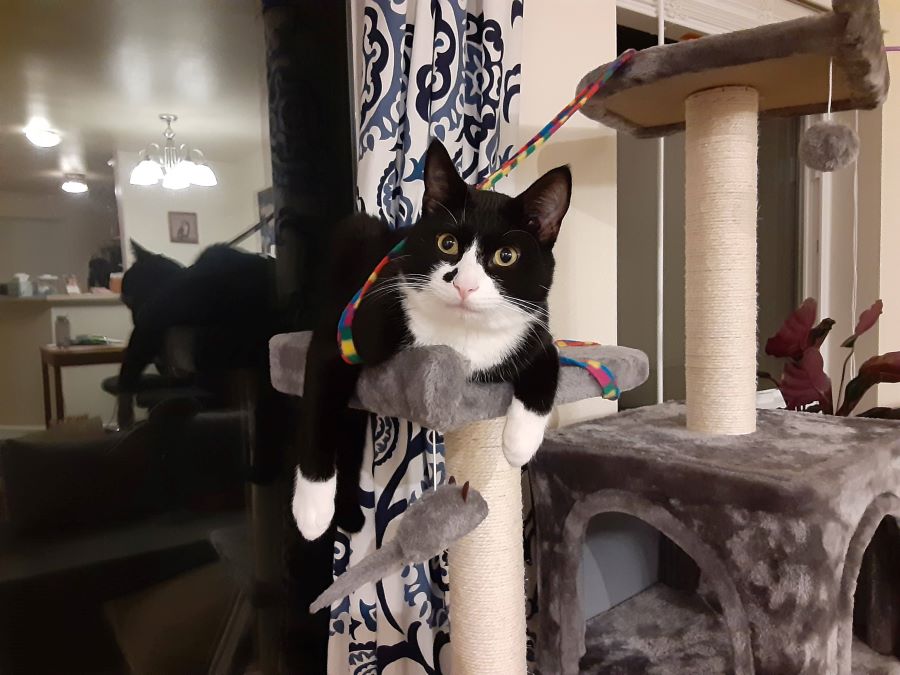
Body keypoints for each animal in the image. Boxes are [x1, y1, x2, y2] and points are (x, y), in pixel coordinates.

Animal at [292, 140, 572, 540]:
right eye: (447, 243)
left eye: (506, 256)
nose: (464, 284)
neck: (460, 332)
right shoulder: (344, 334)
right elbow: (318, 409)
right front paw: (311, 509)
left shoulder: (533, 329)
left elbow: (549, 361)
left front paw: (518, 442)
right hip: (354, 238)